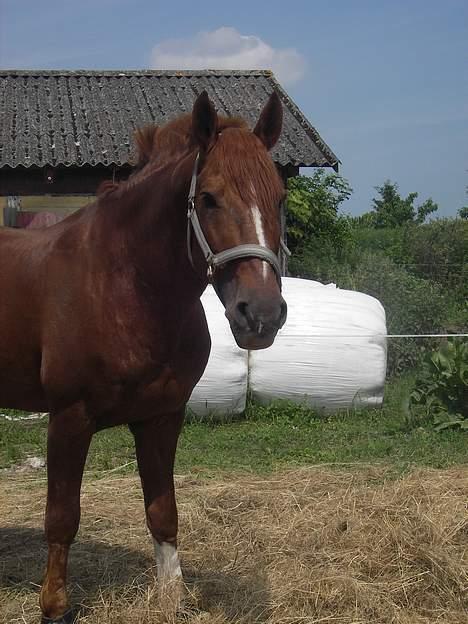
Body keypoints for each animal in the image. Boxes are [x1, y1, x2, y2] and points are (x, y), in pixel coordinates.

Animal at [0, 90, 288, 620]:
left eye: (278, 198)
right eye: (209, 197)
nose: (260, 315)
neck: (124, 285)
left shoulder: (161, 417)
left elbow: (163, 510)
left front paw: (172, 596)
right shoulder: (69, 417)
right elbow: (62, 516)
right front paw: (54, 604)